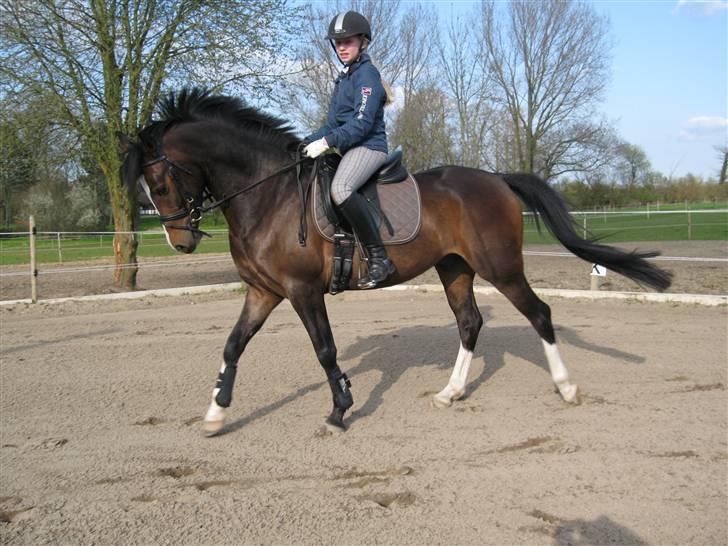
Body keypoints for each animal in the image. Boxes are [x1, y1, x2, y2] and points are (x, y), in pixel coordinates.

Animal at [119, 88, 672, 435]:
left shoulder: (302, 291)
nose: (181, 242)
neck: (268, 194)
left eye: (160, 184)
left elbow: (324, 350)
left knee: (539, 314)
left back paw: (567, 387)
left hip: (501, 267)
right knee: (469, 322)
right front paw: (215, 416)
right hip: (455, 268)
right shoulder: (264, 291)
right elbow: (233, 346)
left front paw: (340, 410)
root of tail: (494, 178)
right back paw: (451, 393)